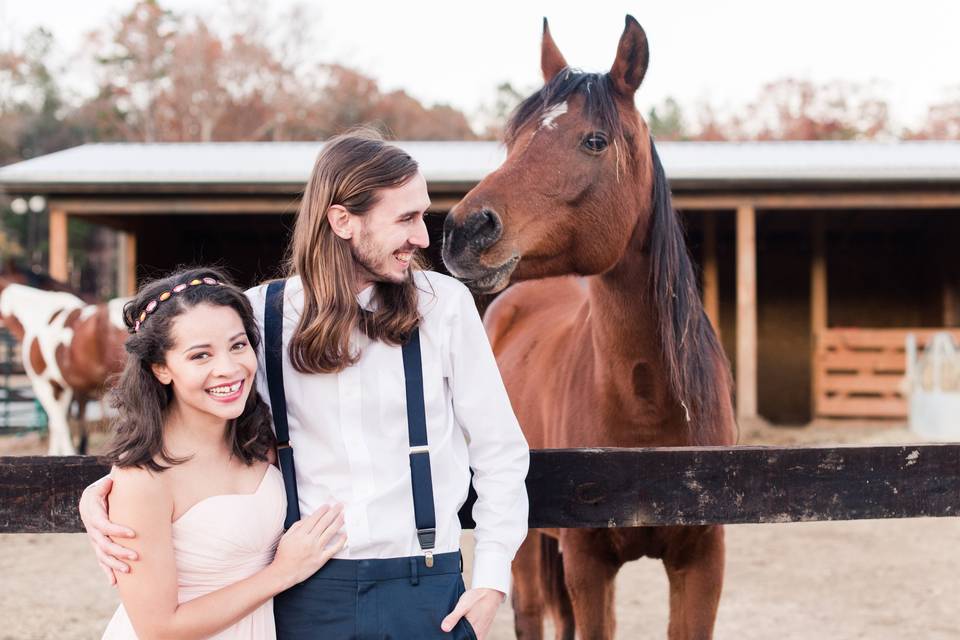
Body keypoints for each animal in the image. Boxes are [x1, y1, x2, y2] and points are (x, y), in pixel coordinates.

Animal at [442, 15, 736, 640]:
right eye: (514, 141)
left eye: (594, 141)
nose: (463, 230)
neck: (650, 409)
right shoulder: (587, 563)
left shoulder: (703, 561)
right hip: (529, 542)